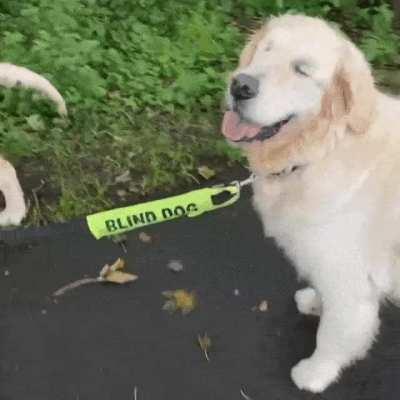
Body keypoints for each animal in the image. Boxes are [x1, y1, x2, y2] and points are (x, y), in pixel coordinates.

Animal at [222, 14, 400, 392]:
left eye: (302, 70)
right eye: (266, 49)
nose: (240, 85)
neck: (322, 150)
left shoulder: (349, 279)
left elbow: (334, 334)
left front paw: (315, 373)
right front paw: (315, 302)